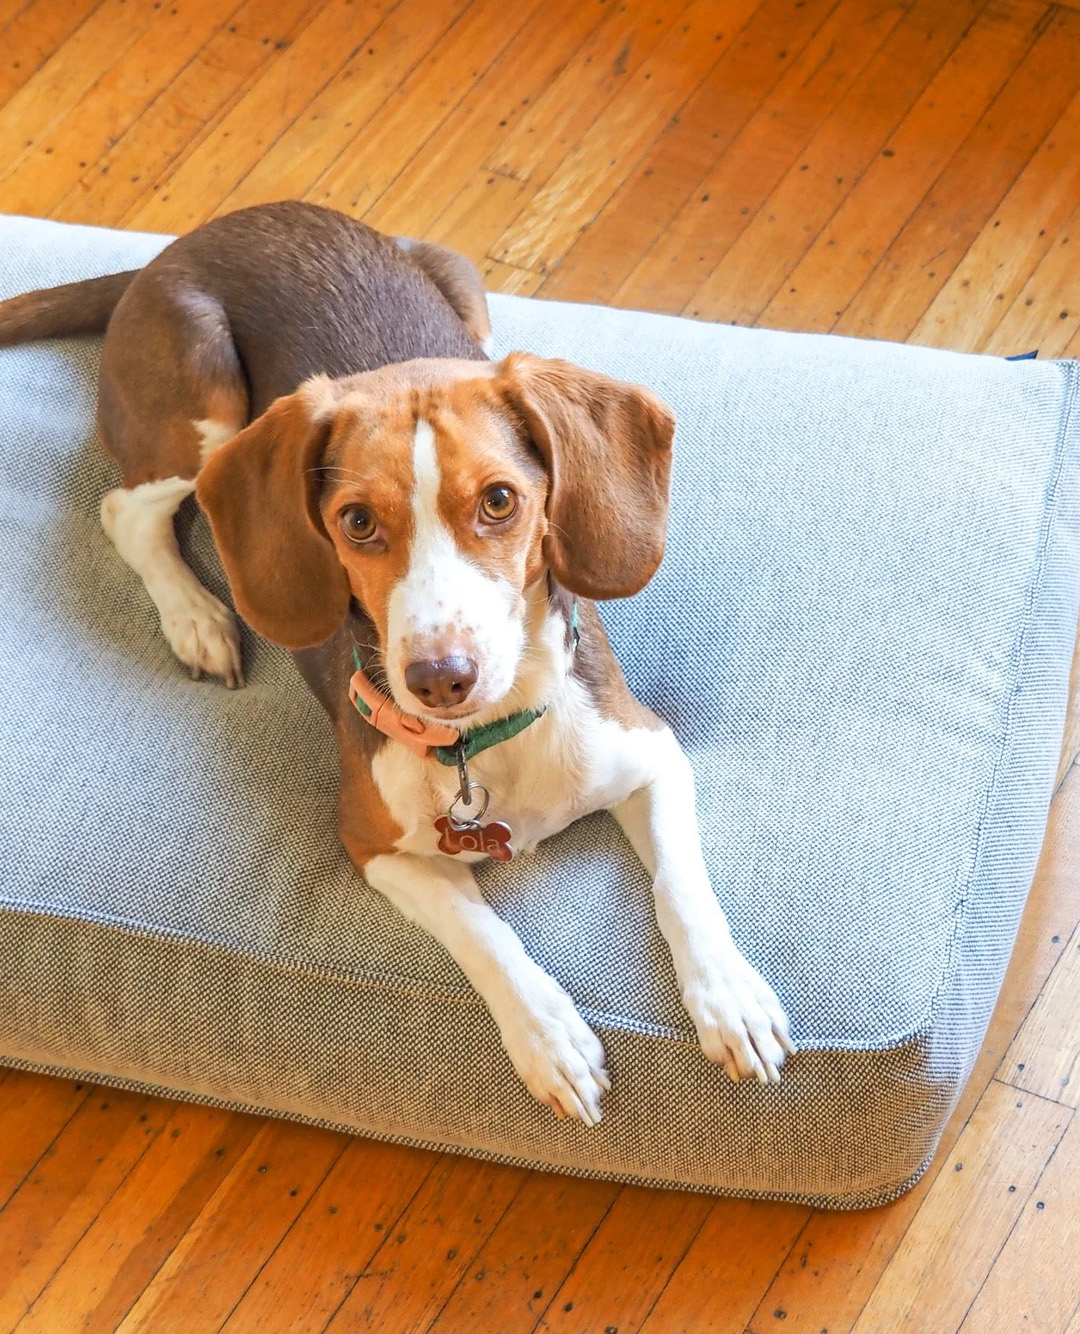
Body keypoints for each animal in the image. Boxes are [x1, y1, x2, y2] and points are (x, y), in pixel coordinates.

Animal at [0, 197, 789, 1120]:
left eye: (500, 501)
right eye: (356, 523)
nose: (440, 677)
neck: (487, 738)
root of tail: (185, 243)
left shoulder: (653, 753)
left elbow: (683, 891)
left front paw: (730, 998)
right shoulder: (373, 843)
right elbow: (483, 932)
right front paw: (548, 1036)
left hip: (457, 281)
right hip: (206, 399)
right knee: (126, 510)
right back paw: (196, 616)